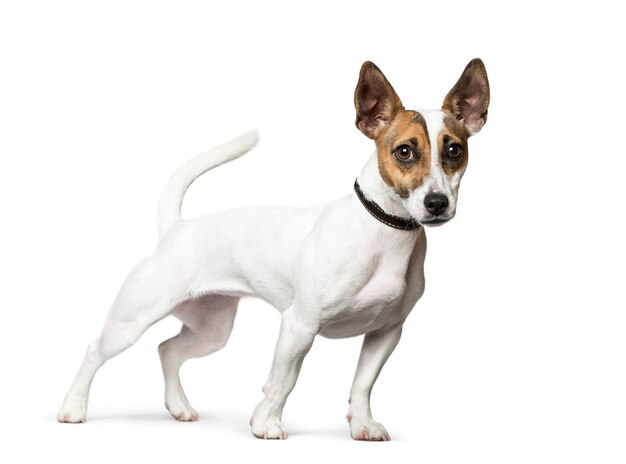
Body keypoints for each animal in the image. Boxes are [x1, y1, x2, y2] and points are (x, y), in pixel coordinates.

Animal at [58, 59, 488, 440]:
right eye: (404, 151)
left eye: (454, 151)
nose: (436, 203)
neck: (384, 233)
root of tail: (176, 229)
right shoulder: (299, 327)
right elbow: (283, 381)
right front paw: (266, 424)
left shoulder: (386, 333)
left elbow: (362, 384)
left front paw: (362, 425)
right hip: (132, 320)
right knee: (95, 350)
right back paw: (73, 407)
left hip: (211, 330)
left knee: (168, 350)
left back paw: (178, 406)